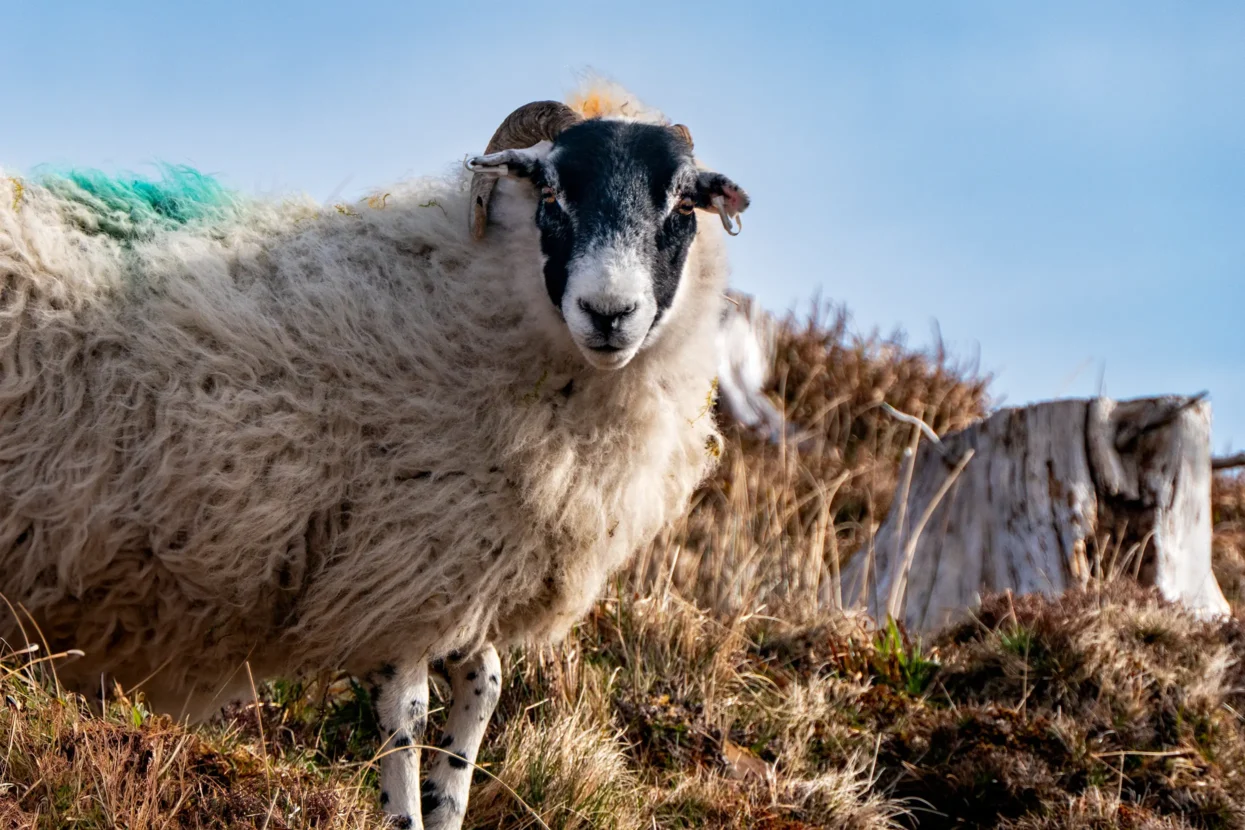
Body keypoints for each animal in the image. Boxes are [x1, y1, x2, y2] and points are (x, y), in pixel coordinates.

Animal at [0, 80, 747, 826]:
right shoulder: (393, 568)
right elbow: (408, 717)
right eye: (551, 190)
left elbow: (485, 686)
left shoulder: (462, 567)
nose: (608, 313)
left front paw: (447, 800)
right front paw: (406, 810)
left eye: (683, 203)